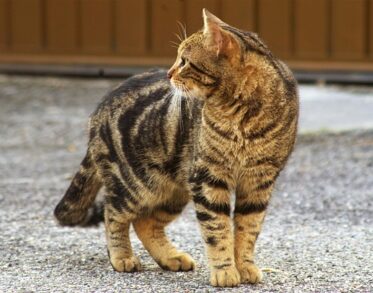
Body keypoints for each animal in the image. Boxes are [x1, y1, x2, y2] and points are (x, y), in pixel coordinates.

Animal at [53, 9, 298, 286]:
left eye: (184, 61)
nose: (169, 73)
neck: (242, 114)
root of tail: (99, 109)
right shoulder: (208, 178)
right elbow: (218, 229)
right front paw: (224, 270)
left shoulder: (259, 182)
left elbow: (248, 230)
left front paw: (244, 266)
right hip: (137, 185)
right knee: (113, 213)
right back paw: (122, 256)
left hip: (174, 189)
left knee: (145, 223)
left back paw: (171, 257)